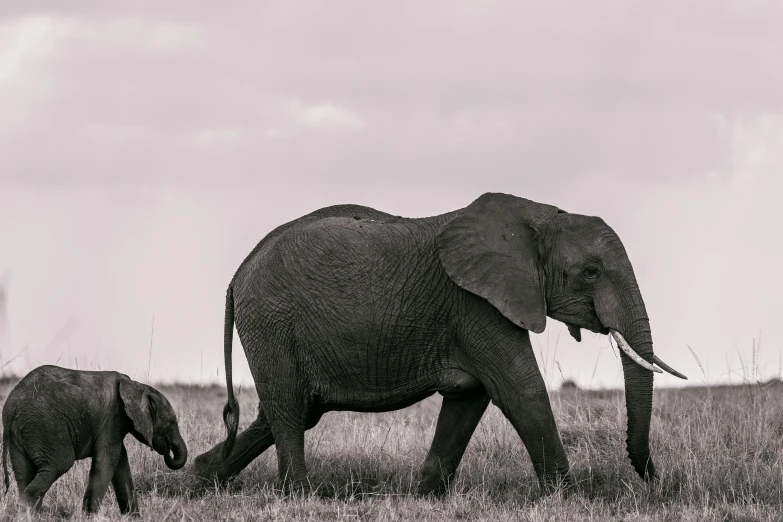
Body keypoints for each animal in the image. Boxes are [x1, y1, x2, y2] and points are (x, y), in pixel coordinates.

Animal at [1, 364, 188, 512]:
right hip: (45, 424)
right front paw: (88, 515)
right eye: (172, 422)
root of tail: (11, 405)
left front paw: (133, 516)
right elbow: (108, 460)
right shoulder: (113, 418)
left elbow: (121, 463)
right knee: (59, 463)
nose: (168, 450)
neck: (136, 385)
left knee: (24, 473)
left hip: (21, 431)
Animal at [193, 193, 684, 494]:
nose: (658, 480)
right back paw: (302, 495)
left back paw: (203, 476)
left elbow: (470, 398)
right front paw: (567, 496)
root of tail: (238, 274)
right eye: (592, 273)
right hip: (272, 323)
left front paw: (425, 494)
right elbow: (520, 390)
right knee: (291, 412)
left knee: (286, 411)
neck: (538, 218)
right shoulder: (476, 304)